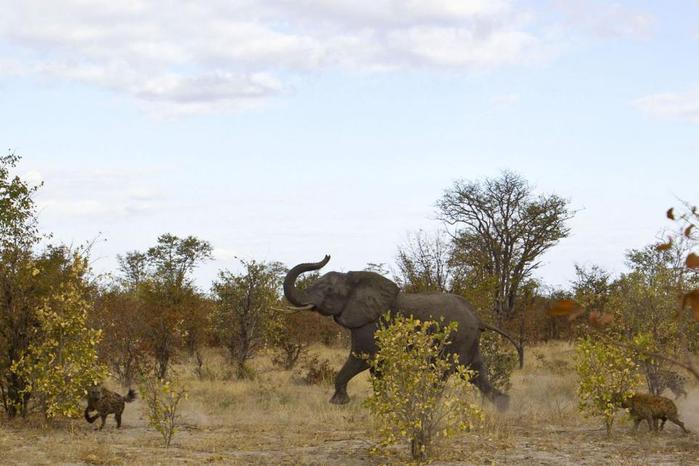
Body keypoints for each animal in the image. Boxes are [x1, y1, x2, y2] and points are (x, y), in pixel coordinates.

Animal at [284, 253, 520, 410]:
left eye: (327, 290)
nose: (326, 255)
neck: (354, 281)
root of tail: (478, 317)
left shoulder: (370, 325)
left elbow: (361, 358)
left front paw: (338, 403)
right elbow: (376, 368)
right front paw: (382, 404)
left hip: (458, 338)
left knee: (445, 372)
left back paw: (427, 405)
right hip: (468, 341)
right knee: (476, 372)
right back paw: (504, 407)